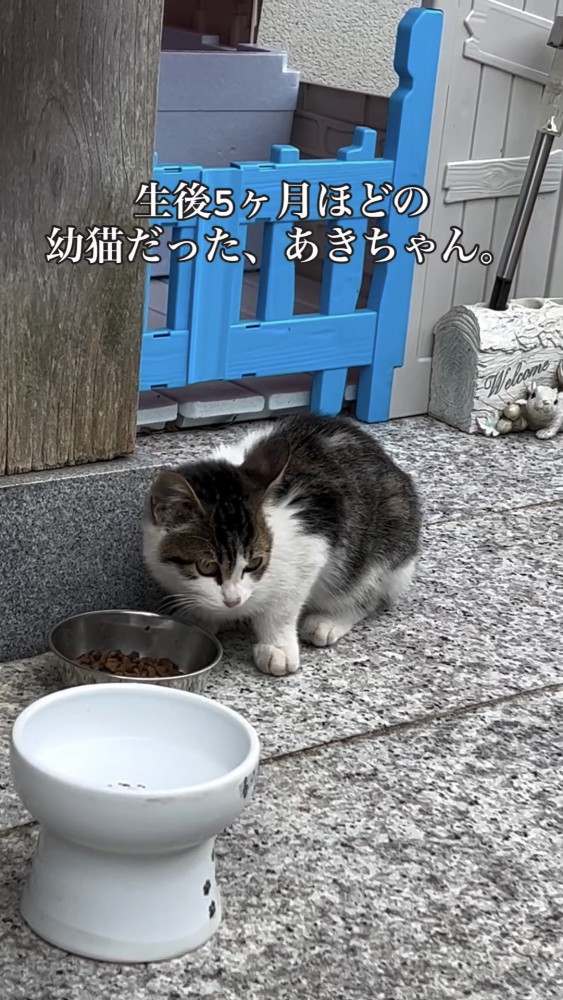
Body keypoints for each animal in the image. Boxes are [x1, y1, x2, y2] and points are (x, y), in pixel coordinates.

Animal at [143, 410, 420, 676]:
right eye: (206, 566)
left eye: (255, 563)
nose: (233, 601)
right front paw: (201, 617)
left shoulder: (313, 541)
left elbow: (283, 607)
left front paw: (277, 647)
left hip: (385, 545)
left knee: (366, 591)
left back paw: (328, 621)